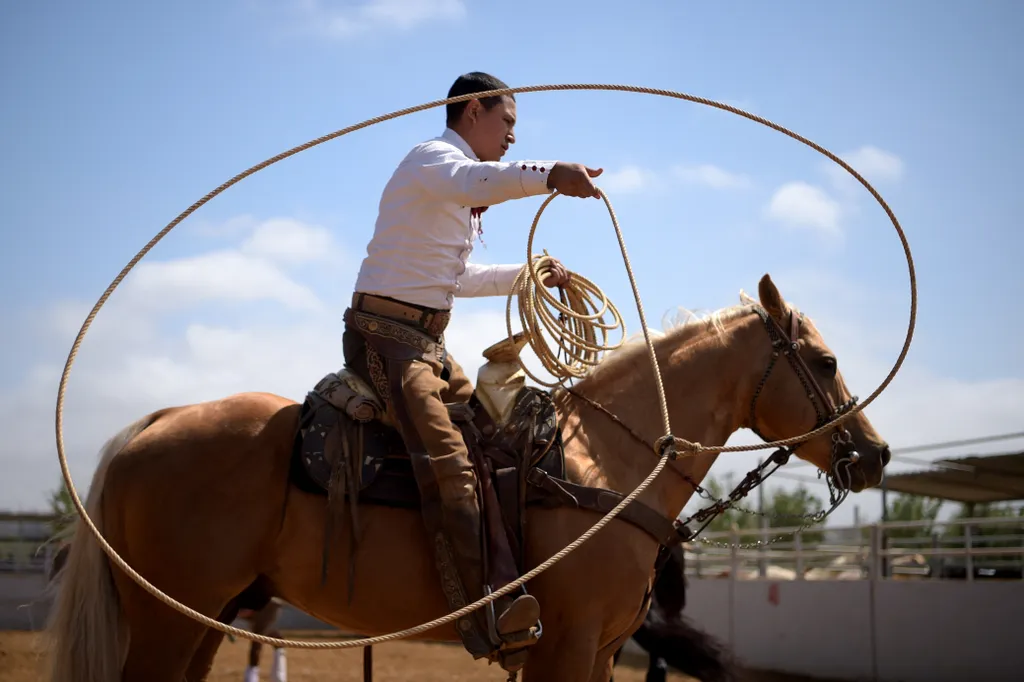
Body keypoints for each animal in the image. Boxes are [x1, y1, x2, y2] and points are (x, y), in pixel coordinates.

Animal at [46, 274, 888, 679]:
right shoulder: (564, 648)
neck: (601, 463)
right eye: (825, 362)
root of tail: (151, 423)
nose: (875, 454)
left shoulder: (603, 651)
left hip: (203, 617)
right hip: (168, 619)